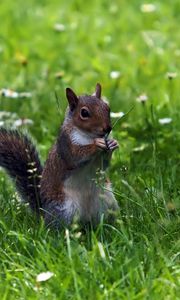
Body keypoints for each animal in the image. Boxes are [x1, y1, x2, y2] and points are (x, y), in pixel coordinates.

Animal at [0, 83, 119, 229]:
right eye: (84, 113)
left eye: (107, 107)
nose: (107, 128)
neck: (89, 136)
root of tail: (44, 212)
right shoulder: (66, 144)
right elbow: (75, 156)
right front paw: (97, 144)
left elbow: (104, 164)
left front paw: (112, 143)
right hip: (64, 209)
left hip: (107, 201)